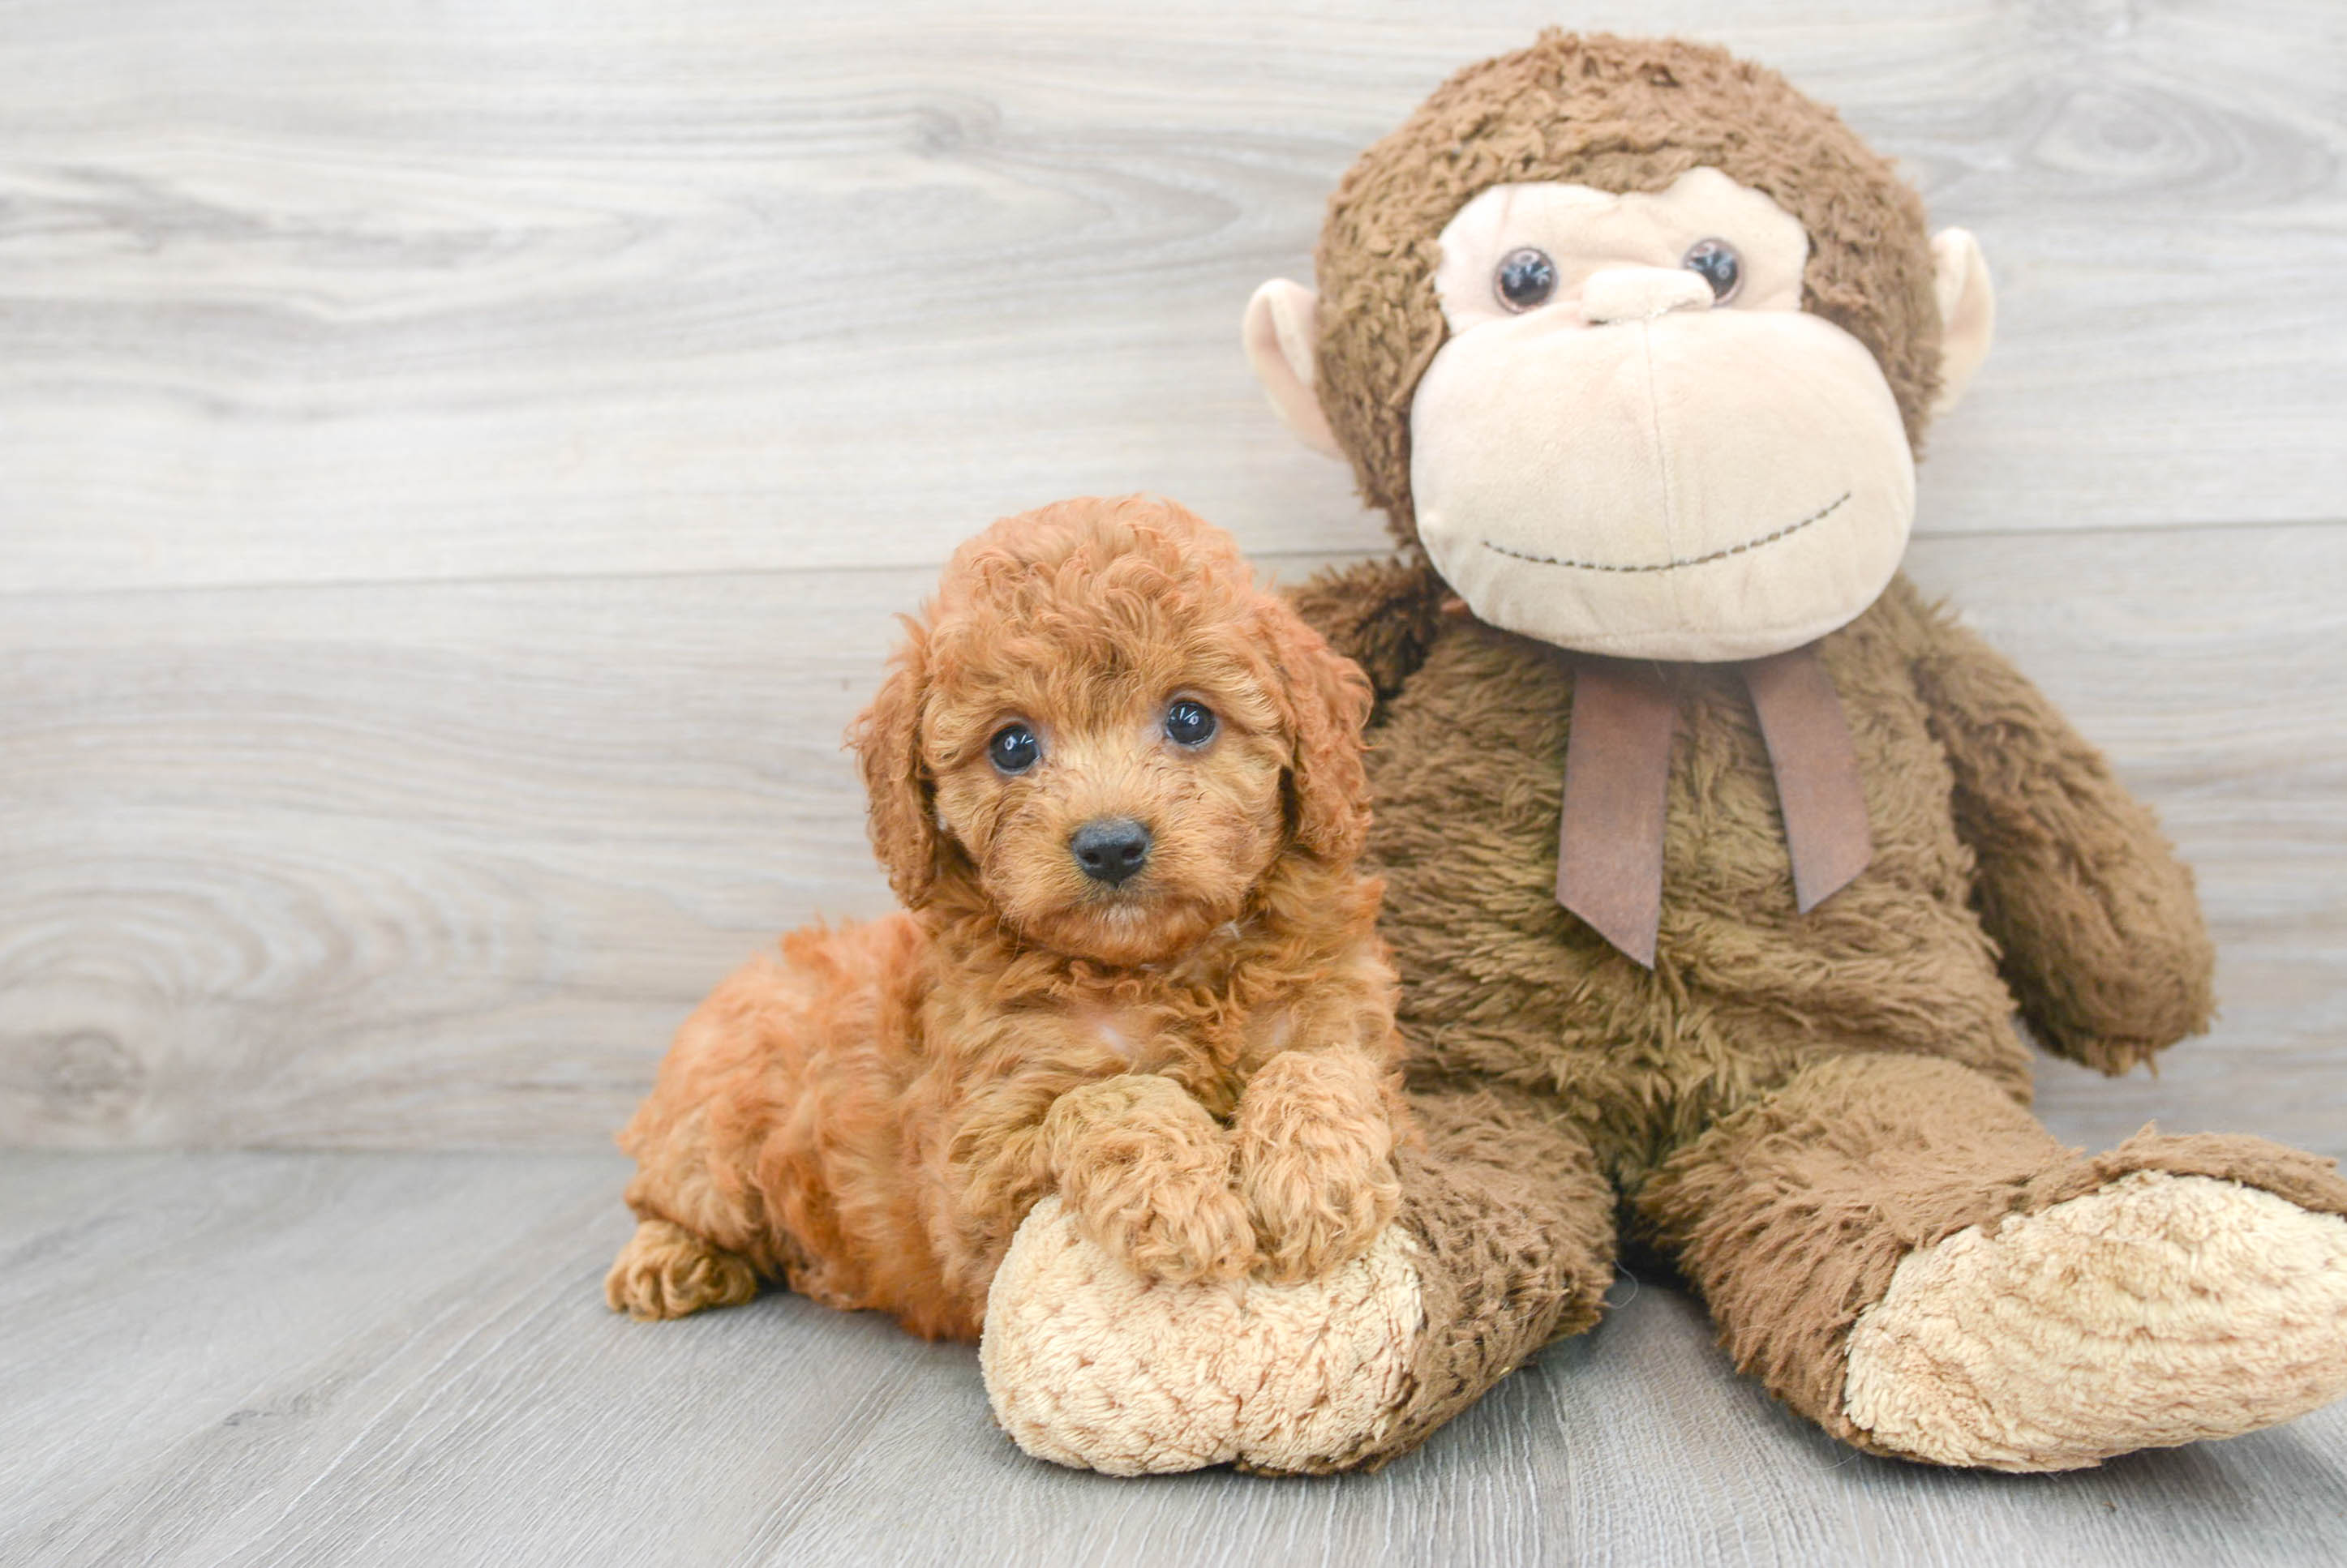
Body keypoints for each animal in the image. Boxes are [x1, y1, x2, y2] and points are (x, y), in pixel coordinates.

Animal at [610, 495, 1408, 1343]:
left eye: (1192, 719)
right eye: (1013, 745)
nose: (1111, 845)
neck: (1160, 967)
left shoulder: (1354, 1040)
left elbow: (1319, 1068)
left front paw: (1316, 1177)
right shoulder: (976, 1186)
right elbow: (1103, 1099)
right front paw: (1181, 1200)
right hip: (714, 1129)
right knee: (667, 1196)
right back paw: (667, 1260)